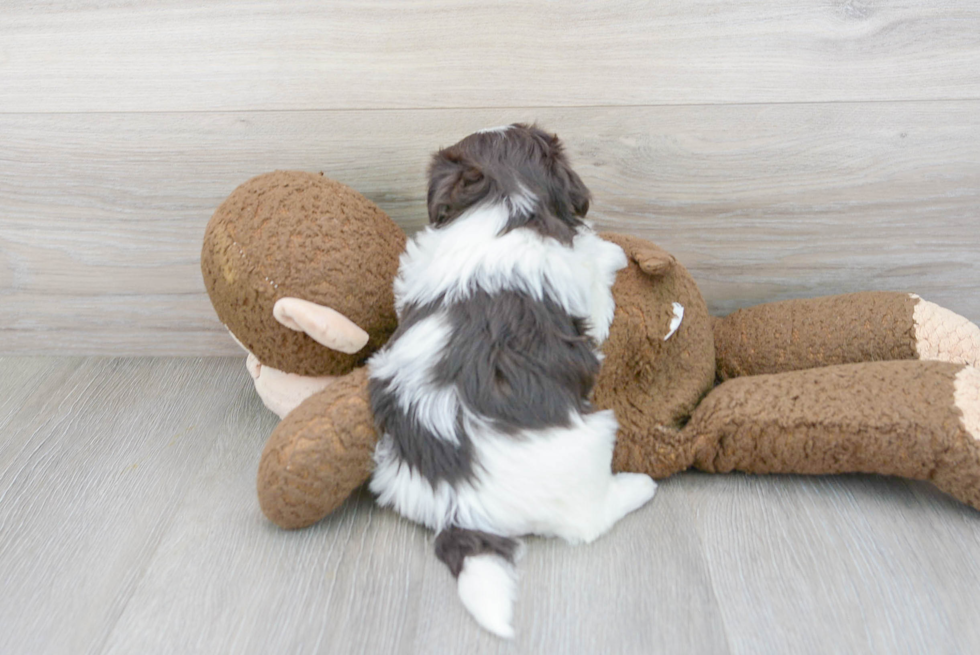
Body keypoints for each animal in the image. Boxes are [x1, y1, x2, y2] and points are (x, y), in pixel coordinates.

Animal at [368, 124, 660, 640]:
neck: (501, 202)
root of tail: (460, 504)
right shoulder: (587, 291)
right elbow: (597, 266)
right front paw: (612, 250)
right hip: (591, 442)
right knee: (588, 522)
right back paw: (638, 486)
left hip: (391, 476)